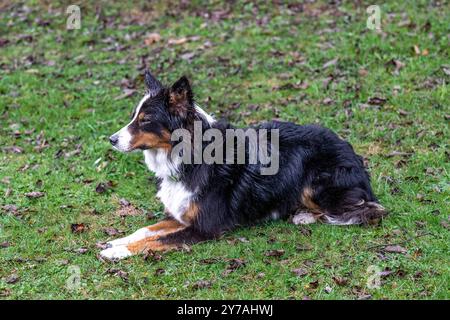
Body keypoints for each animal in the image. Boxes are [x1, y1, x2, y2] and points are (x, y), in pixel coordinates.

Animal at [100, 70, 388, 260]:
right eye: (134, 117)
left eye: (146, 120)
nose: (111, 139)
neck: (190, 156)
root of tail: (351, 151)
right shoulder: (181, 214)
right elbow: (146, 230)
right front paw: (116, 241)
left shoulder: (205, 227)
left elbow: (158, 240)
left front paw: (119, 251)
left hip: (316, 183)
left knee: (369, 211)